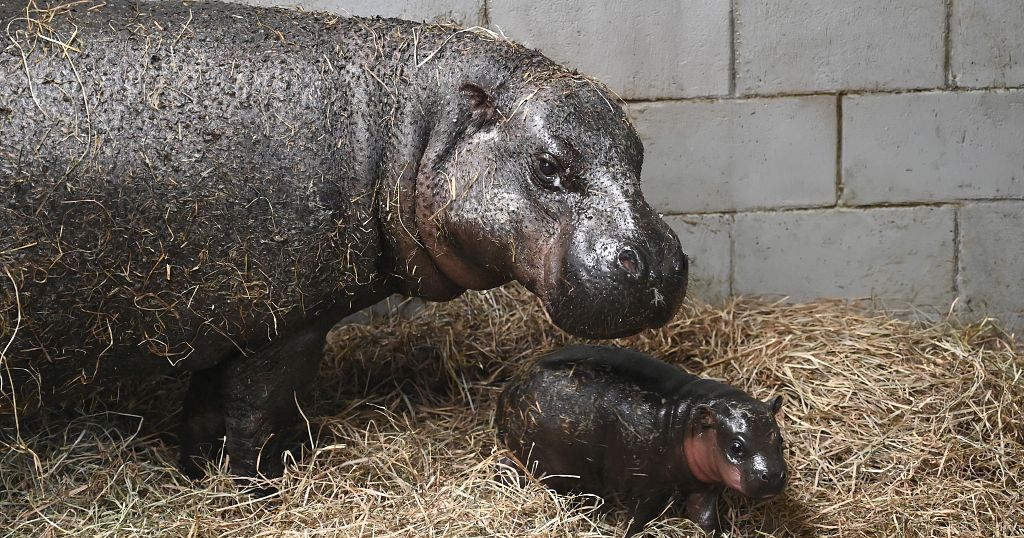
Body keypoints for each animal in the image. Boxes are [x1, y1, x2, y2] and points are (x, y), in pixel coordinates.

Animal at [2, 1, 688, 477]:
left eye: (640, 153)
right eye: (548, 165)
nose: (658, 262)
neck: (409, 127)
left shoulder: (225, 318)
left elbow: (203, 410)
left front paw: (198, 473)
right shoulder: (284, 325)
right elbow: (252, 413)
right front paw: (255, 486)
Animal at [499, 346, 786, 532]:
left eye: (780, 440)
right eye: (736, 447)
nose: (773, 475)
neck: (687, 423)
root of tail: (510, 387)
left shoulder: (703, 487)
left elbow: (705, 517)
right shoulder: (651, 488)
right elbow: (638, 519)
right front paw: (628, 532)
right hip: (542, 462)